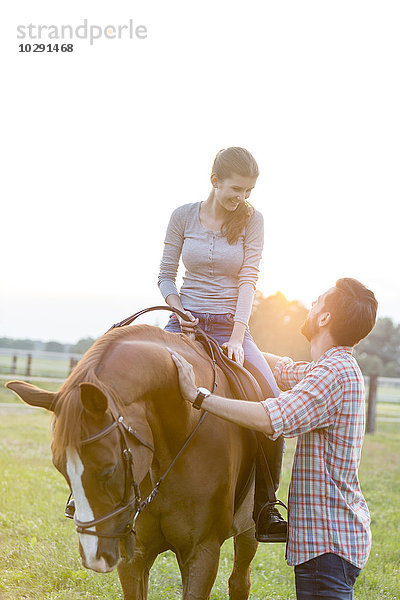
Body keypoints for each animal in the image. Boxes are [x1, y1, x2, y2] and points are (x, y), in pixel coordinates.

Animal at [7, 324, 260, 600]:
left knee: (240, 580)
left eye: (109, 470)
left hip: (249, 530)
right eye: (60, 468)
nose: (94, 557)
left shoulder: (203, 553)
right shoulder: (135, 553)